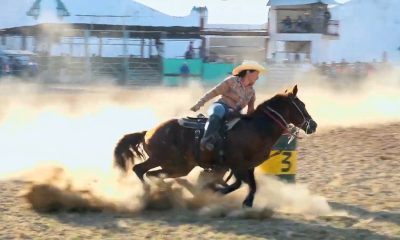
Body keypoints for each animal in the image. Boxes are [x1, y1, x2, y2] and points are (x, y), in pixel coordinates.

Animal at [114, 85, 318, 207]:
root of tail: (148, 132)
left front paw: (247, 202)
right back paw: (150, 193)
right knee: (141, 170)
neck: (255, 129)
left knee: (153, 174)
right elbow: (236, 184)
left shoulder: (247, 166)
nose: (313, 125)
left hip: (178, 166)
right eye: (301, 105)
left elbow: (252, 185)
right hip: (165, 160)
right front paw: (216, 190)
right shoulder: (236, 164)